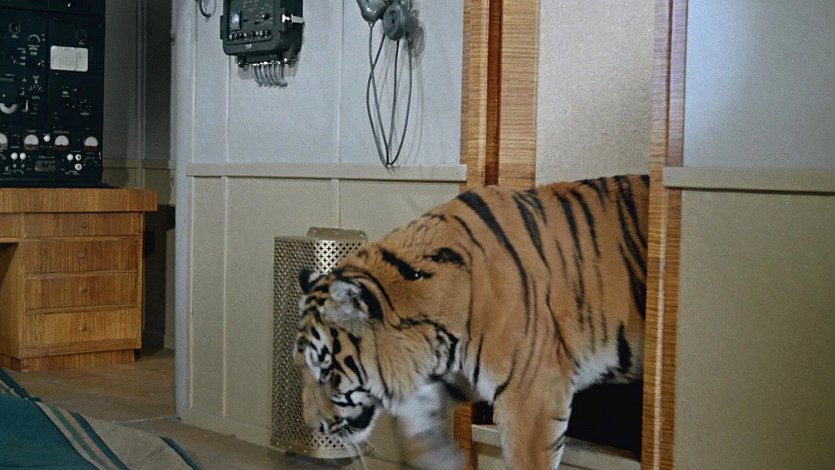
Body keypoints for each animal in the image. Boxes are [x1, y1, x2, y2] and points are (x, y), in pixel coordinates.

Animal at [294, 174, 649, 469]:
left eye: (326, 372)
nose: (314, 426)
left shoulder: (531, 396)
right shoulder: (449, 376)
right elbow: (417, 430)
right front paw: (447, 460)